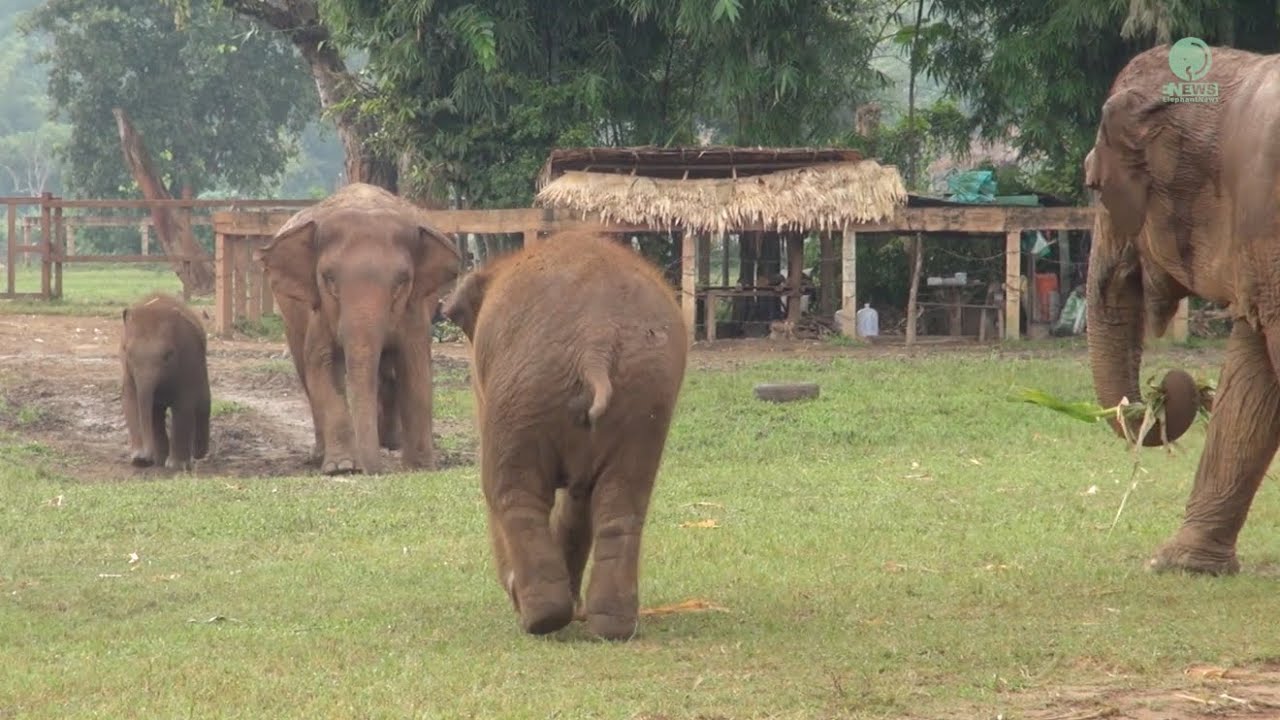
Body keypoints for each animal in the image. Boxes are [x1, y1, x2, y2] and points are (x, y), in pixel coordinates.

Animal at [120, 292, 211, 470]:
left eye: (168, 355)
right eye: (127, 351)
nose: (145, 459)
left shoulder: (187, 362)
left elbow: (183, 405)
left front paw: (176, 465)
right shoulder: (128, 370)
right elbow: (131, 401)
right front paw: (139, 459)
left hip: (201, 368)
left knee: (203, 404)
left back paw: (198, 455)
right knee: (156, 412)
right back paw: (160, 459)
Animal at [257, 183, 462, 475]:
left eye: (402, 281)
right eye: (329, 279)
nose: (373, 470)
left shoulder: (415, 310)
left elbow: (416, 369)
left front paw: (421, 468)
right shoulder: (319, 314)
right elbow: (322, 367)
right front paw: (341, 467)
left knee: (387, 373)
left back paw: (391, 444)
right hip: (290, 319)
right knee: (305, 370)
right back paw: (321, 455)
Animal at [441, 230, 689, 640]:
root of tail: (596, 341)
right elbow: (579, 501)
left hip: (523, 388)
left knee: (511, 491)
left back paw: (540, 619)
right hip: (643, 395)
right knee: (621, 499)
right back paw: (610, 627)